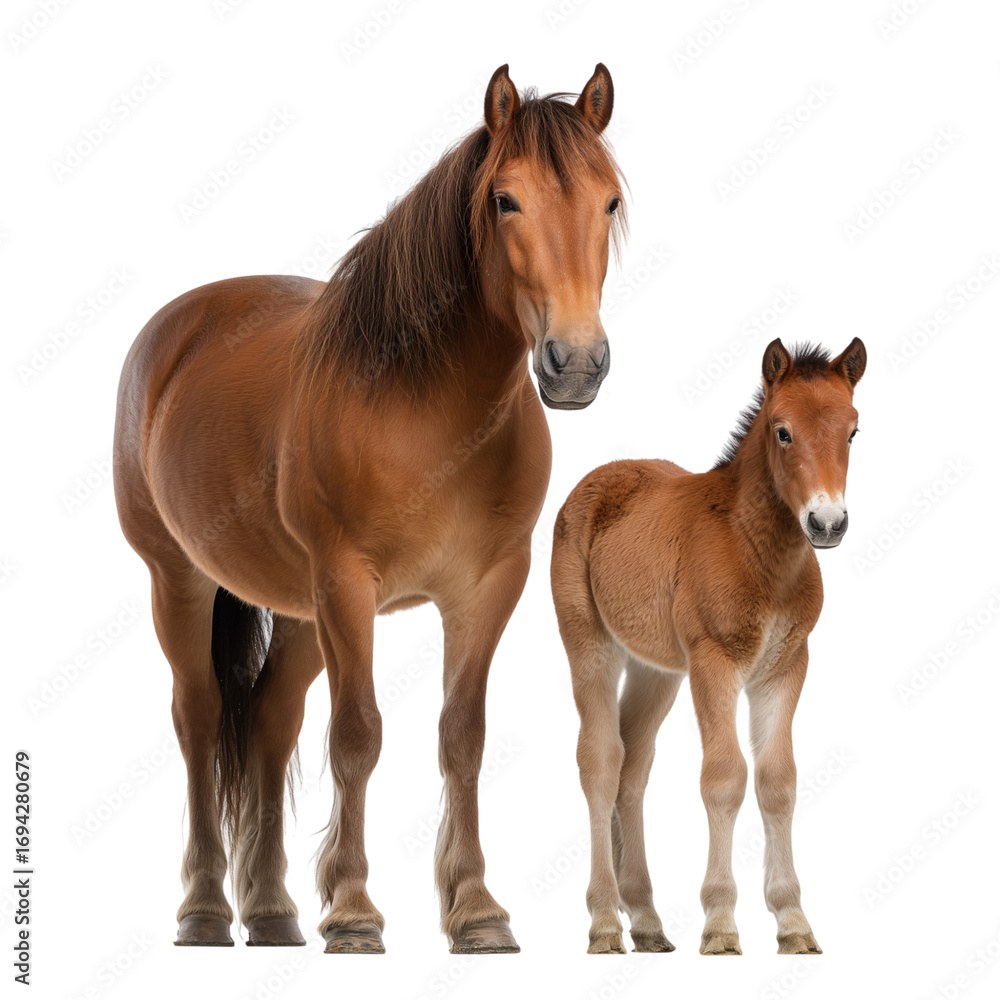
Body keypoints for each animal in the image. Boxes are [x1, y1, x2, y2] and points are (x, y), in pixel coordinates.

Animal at [113, 63, 626, 954]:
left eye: (610, 202)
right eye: (506, 200)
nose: (576, 364)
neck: (431, 411)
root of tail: (176, 329)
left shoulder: (490, 585)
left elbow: (462, 738)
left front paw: (477, 911)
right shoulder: (349, 583)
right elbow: (357, 735)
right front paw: (354, 911)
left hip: (299, 610)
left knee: (271, 719)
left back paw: (273, 911)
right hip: (183, 581)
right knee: (201, 719)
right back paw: (206, 908)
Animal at [551, 337, 866, 955]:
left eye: (853, 431)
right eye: (782, 431)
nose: (827, 522)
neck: (759, 552)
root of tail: (596, 478)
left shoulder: (786, 665)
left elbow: (777, 781)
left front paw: (794, 922)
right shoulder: (714, 661)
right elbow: (724, 776)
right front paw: (720, 923)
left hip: (657, 670)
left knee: (633, 765)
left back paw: (646, 920)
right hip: (590, 644)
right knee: (600, 761)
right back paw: (604, 922)